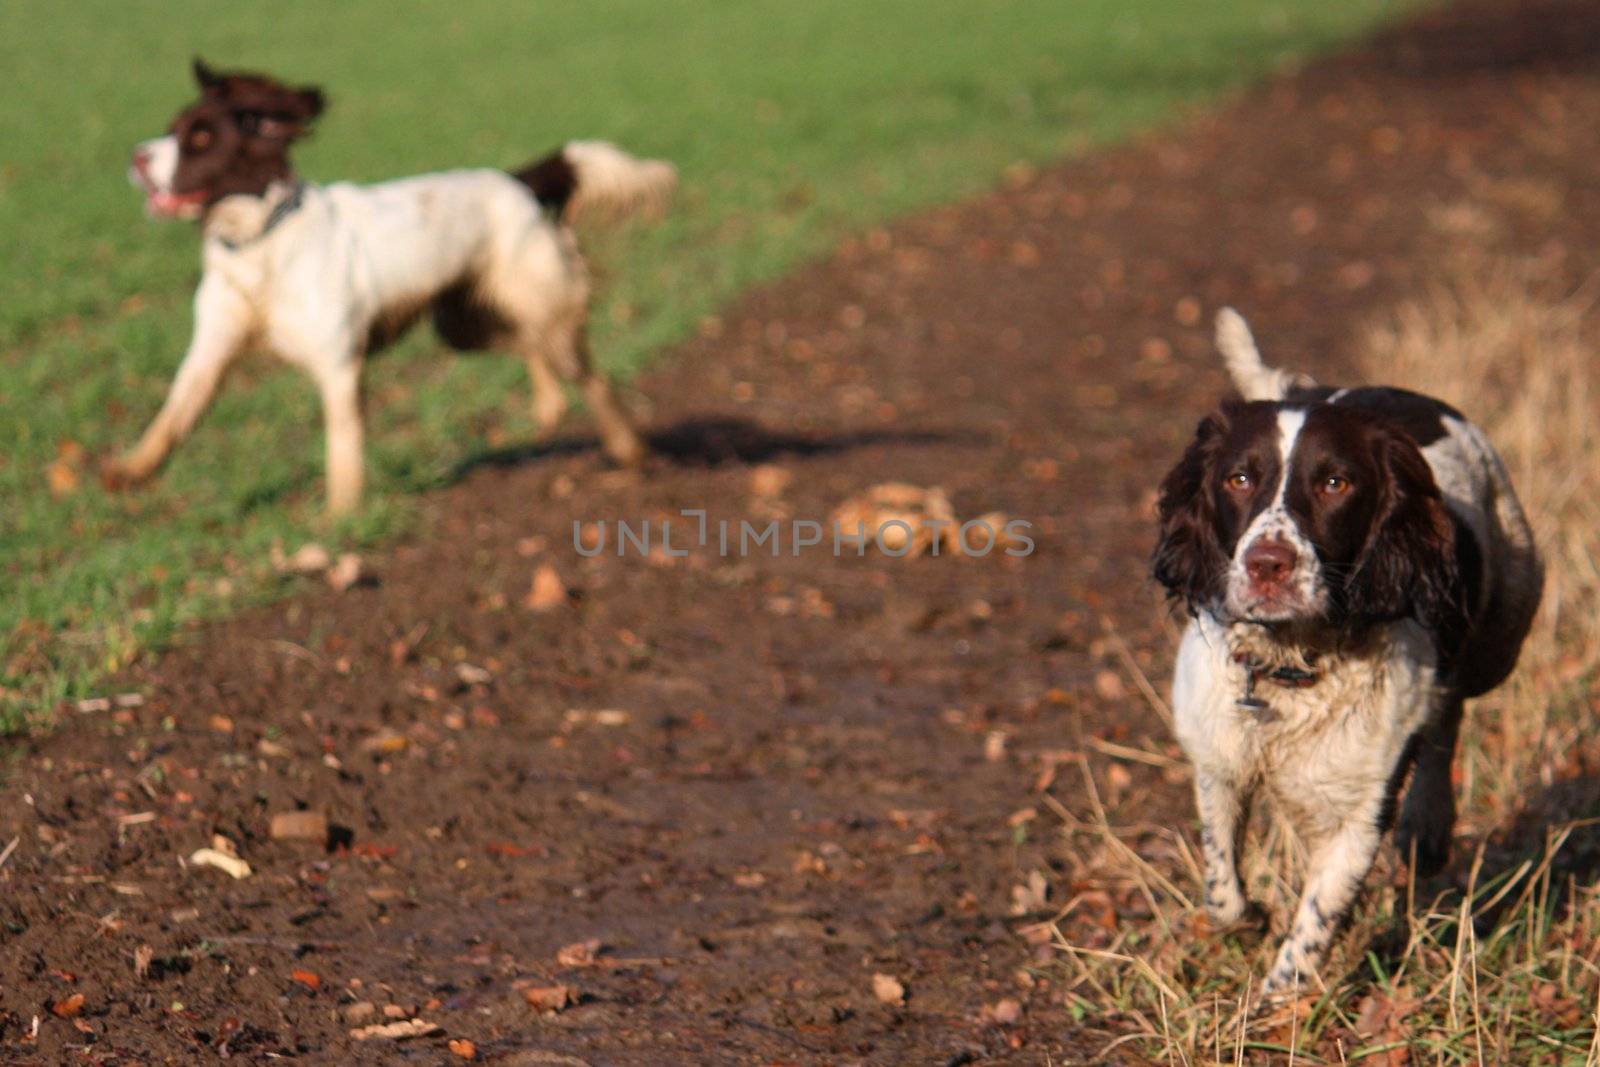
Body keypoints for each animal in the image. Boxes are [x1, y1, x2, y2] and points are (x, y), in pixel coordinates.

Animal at [111, 60, 675, 515]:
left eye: (201, 138)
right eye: (172, 130)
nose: (136, 158)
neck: (261, 241)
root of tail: (517, 182)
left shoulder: (338, 365)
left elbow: (342, 446)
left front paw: (338, 519)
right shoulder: (211, 348)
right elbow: (174, 414)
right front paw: (130, 469)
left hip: (536, 304)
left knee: (587, 372)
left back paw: (628, 448)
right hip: (462, 324)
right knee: (529, 345)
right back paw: (550, 404)